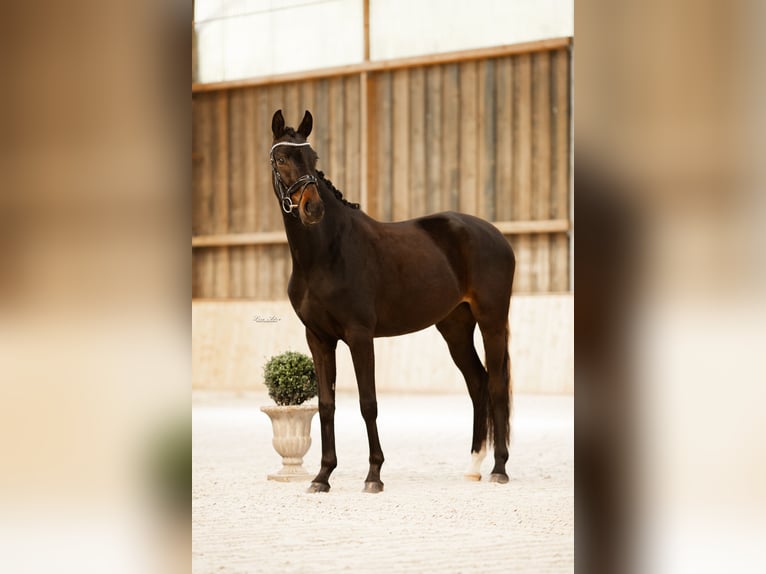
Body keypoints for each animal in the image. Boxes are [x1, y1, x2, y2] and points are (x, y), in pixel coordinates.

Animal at [269, 109, 515, 493]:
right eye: (281, 159)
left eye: (314, 159)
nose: (312, 209)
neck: (325, 254)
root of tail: (496, 235)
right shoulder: (318, 339)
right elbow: (326, 405)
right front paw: (322, 477)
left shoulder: (359, 335)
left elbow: (368, 402)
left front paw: (374, 475)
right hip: (455, 327)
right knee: (477, 384)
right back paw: (473, 466)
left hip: (491, 322)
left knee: (496, 385)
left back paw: (499, 469)